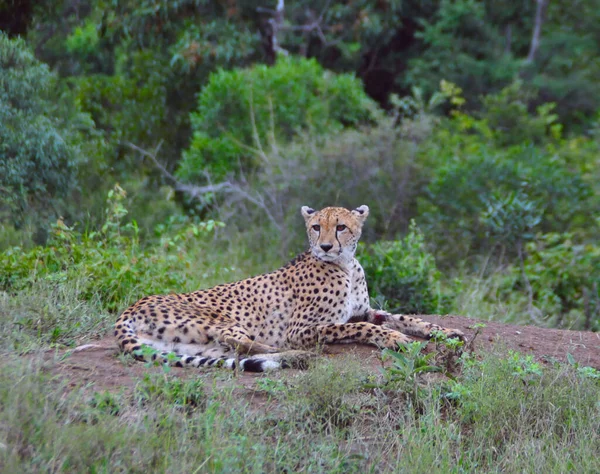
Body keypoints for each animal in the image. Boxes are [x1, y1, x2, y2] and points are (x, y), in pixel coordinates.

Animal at [116, 206, 464, 372]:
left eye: (341, 227)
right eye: (316, 227)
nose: (325, 246)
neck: (345, 265)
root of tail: (129, 308)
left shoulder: (364, 311)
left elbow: (403, 317)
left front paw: (445, 332)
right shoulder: (302, 328)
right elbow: (361, 328)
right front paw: (394, 339)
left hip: (190, 345)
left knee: (236, 350)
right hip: (218, 319)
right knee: (245, 342)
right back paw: (298, 356)